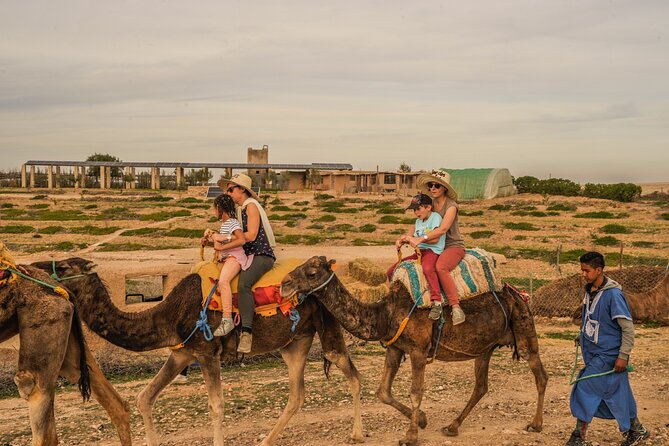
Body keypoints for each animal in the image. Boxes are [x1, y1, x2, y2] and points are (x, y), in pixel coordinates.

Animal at [34, 258, 362, 446]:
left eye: (65, 266)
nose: (36, 267)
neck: (168, 314)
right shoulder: (182, 353)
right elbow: (144, 397)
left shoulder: (206, 351)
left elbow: (216, 406)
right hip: (294, 342)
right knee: (297, 394)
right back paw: (266, 441)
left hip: (327, 321)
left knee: (350, 372)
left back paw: (357, 433)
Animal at [282, 256, 548, 446]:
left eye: (312, 272)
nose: (284, 283)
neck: (385, 314)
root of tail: (519, 293)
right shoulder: (395, 348)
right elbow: (383, 392)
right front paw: (421, 420)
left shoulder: (419, 350)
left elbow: (416, 392)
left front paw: (410, 436)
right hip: (486, 347)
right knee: (481, 385)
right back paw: (452, 426)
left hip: (524, 330)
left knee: (540, 375)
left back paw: (535, 424)